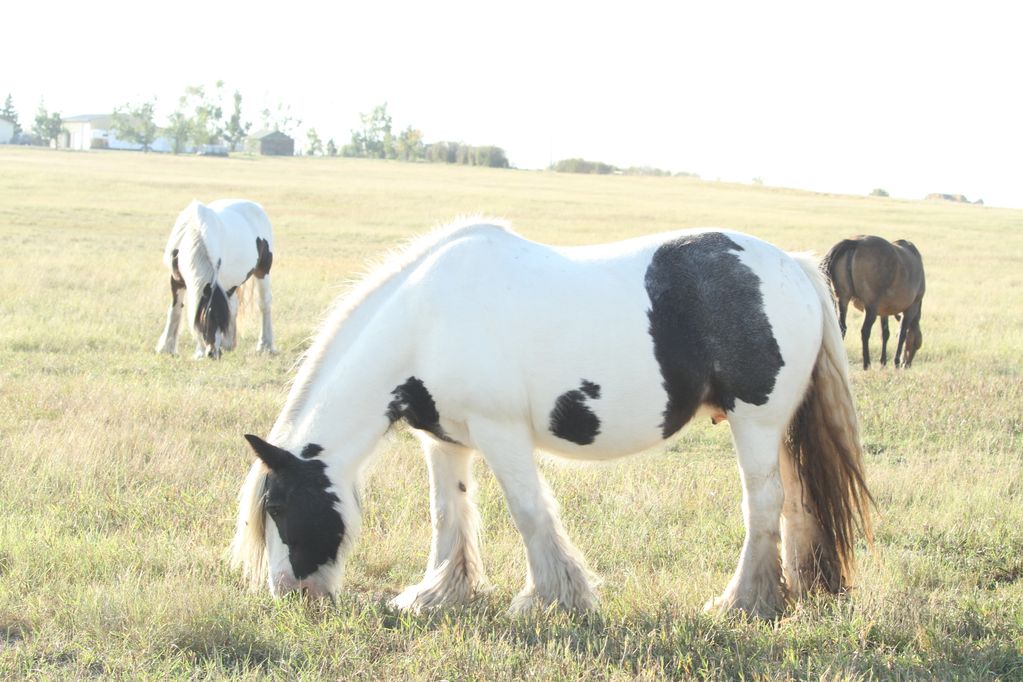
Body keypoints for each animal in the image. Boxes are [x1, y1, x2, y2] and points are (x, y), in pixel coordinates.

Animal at [156, 199, 276, 359]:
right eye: (205, 318)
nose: (213, 353)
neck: (194, 233)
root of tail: (256, 206)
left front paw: (199, 352)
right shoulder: (176, 280)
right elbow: (175, 310)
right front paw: (166, 348)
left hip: (263, 270)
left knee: (264, 303)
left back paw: (265, 345)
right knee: (234, 304)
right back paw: (229, 344)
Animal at [230, 220, 873, 620]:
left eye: (278, 506)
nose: (291, 595)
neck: (425, 319)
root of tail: (793, 266)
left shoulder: (501, 433)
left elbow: (528, 512)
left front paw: (554, 599)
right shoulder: (443, 441)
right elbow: (448, 515)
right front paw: (438, 595)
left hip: (756, 423)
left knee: (762, 507)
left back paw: (743, 602)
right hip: (778, 430)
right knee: (795, 505)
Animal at [822, 235, 925, 369]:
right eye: (916, 344)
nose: (906, 364)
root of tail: (855, 242)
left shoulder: (884, 311)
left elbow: (885, 334)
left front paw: (883, 362)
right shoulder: (911, 308)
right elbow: (902, 334)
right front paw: (896, 362)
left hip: (843, 298)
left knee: (841, 328)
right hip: (871, 307)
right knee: (865, 331)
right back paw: (867, 363)